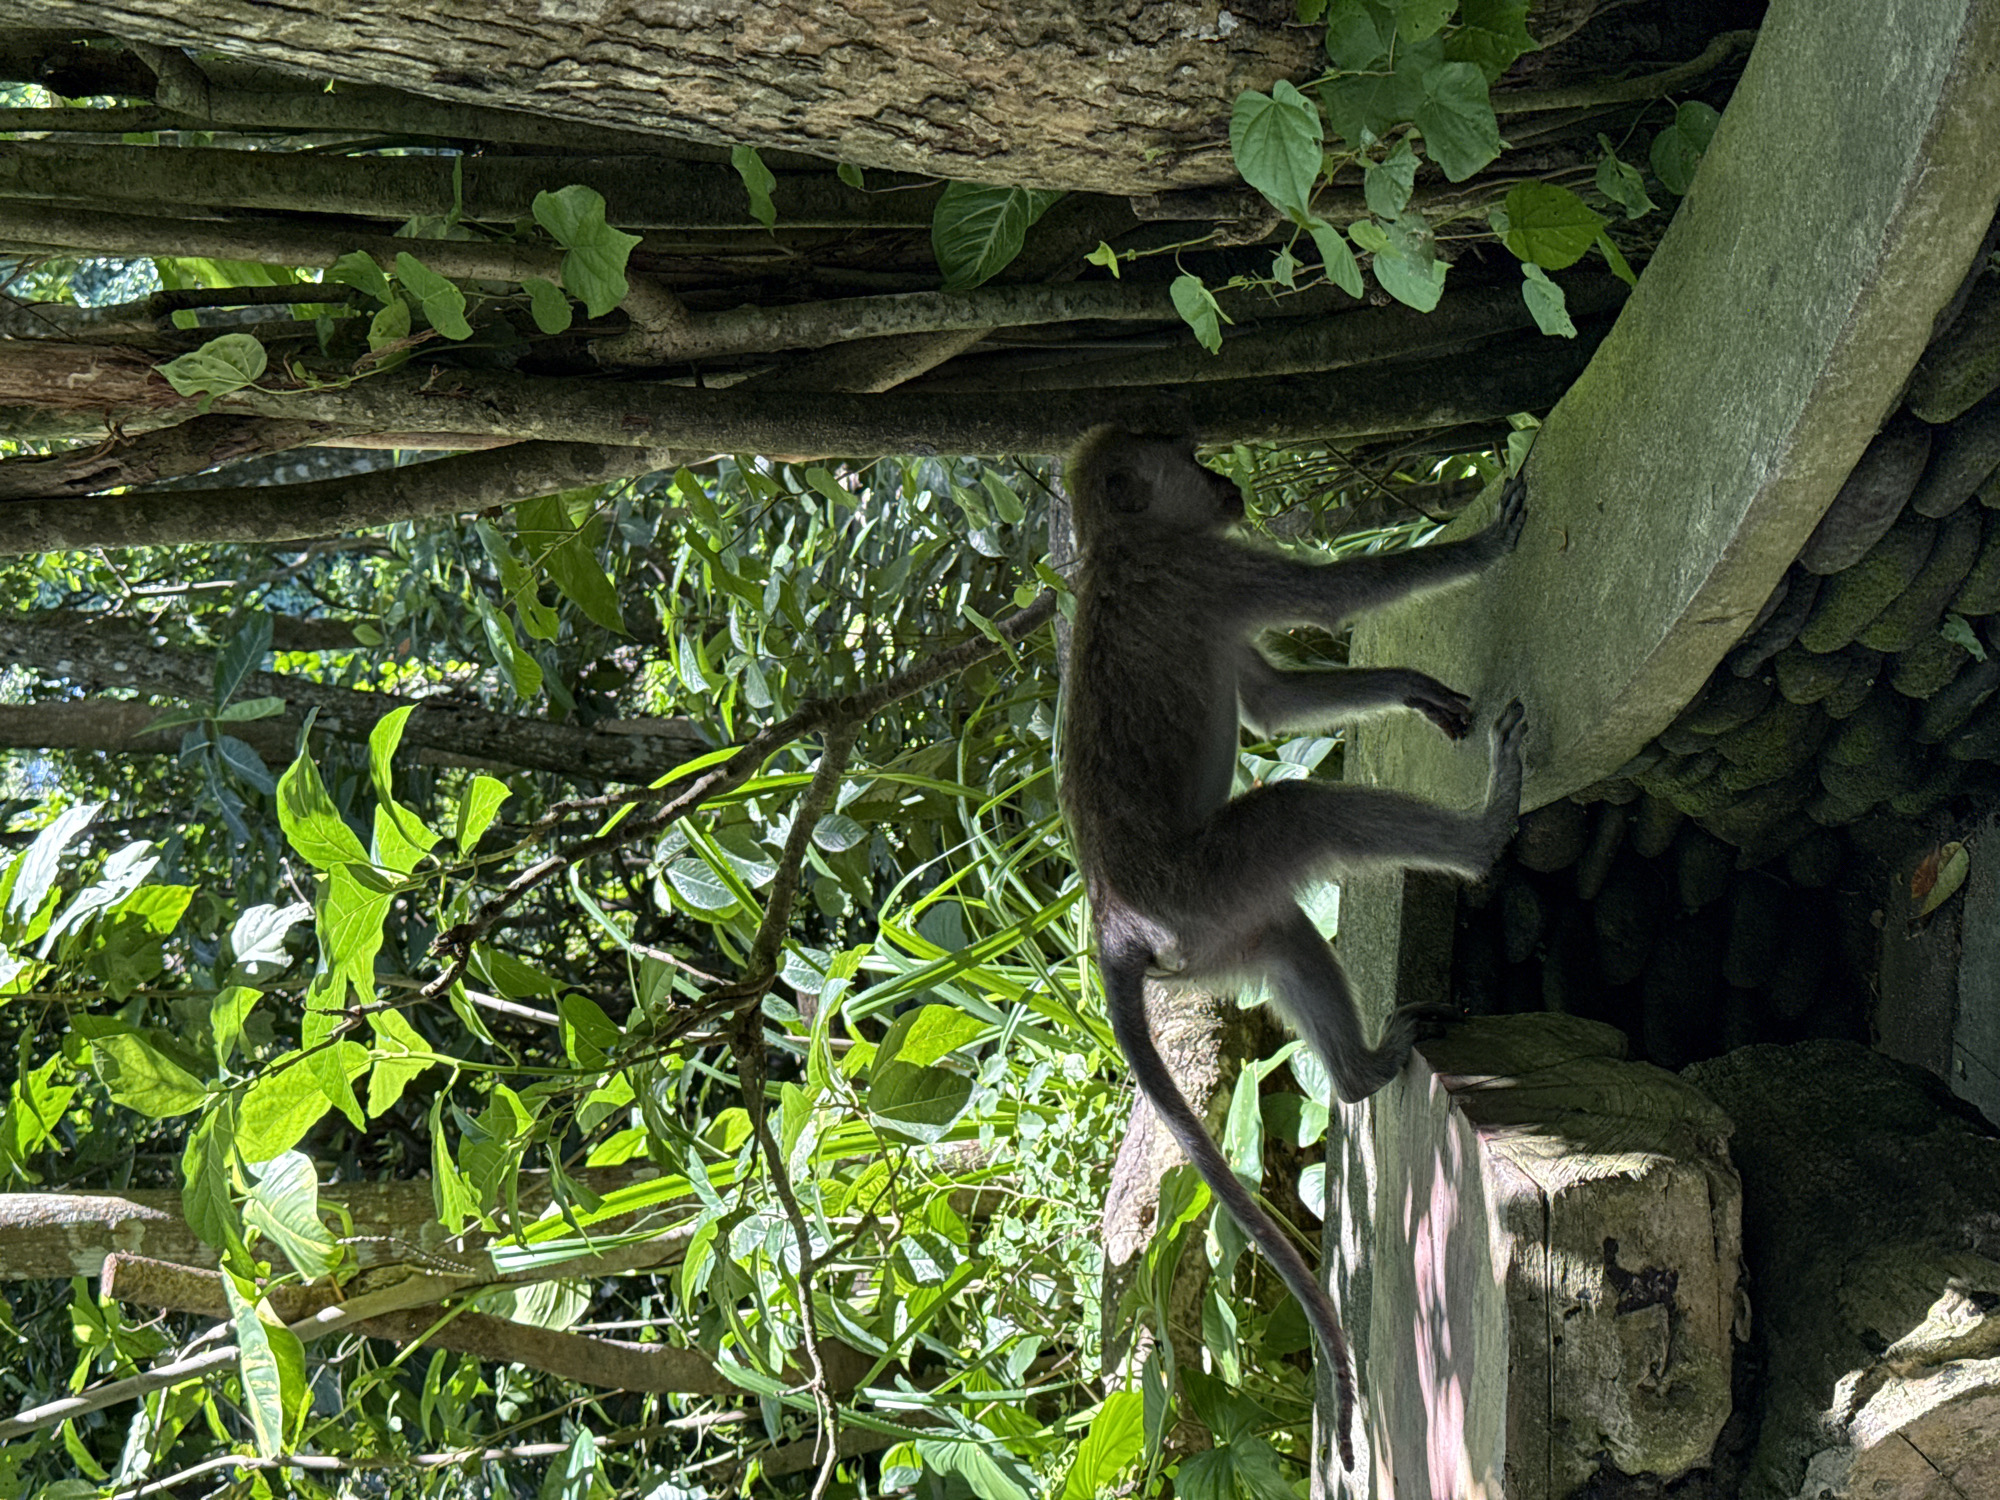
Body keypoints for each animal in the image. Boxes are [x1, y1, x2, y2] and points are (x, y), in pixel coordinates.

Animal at [1056, 427, 1528, 1472]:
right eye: (1186, 461)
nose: (1225, 480)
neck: (1119, 547)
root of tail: (1112, 922)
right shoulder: (1204, 569)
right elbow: (1329, 602)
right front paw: (1481, 545)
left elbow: (1269, 704)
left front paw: (1409, 691)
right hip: (1205, 887)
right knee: (1296, 812)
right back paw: (1483, 837)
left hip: (1209, 934)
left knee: (1280, 933)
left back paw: (1355, 1074)